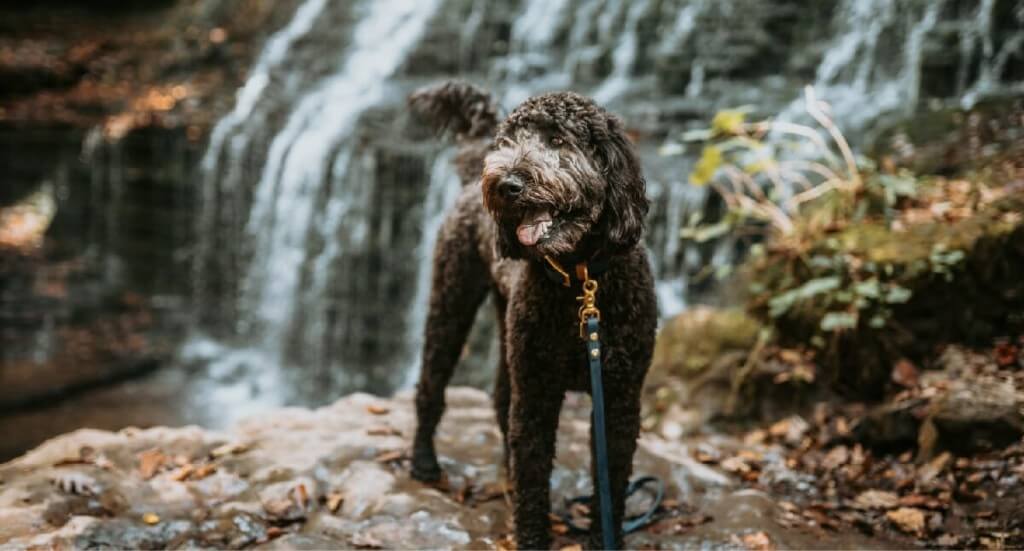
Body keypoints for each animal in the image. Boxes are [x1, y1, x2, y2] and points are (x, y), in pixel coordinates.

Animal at [407, 79, 655, 544]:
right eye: (509, 141)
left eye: (558, 140)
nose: (506, 184)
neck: (580, 281)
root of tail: (473, 173)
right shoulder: (538, 395)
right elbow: (534, 475)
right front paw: (533, 536)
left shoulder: (619, 397)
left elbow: (610, 481)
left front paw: (603, 538)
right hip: (451, 302)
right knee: (431, 386)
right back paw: (423, 461)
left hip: (511, 332)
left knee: (501, 398)